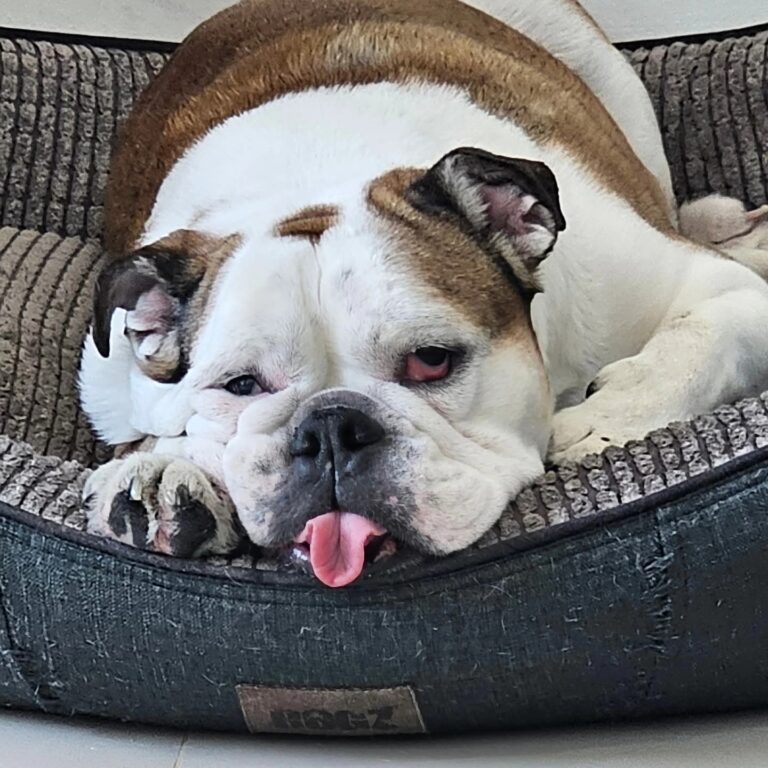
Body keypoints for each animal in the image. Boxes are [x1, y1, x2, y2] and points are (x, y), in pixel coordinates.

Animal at [80, 0, 768, 587]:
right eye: (241, 386)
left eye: (433, 360)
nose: (331, 427)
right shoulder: (112, 383)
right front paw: (167, 469)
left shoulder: (697, 285)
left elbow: (706, 332)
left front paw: (607, 420)